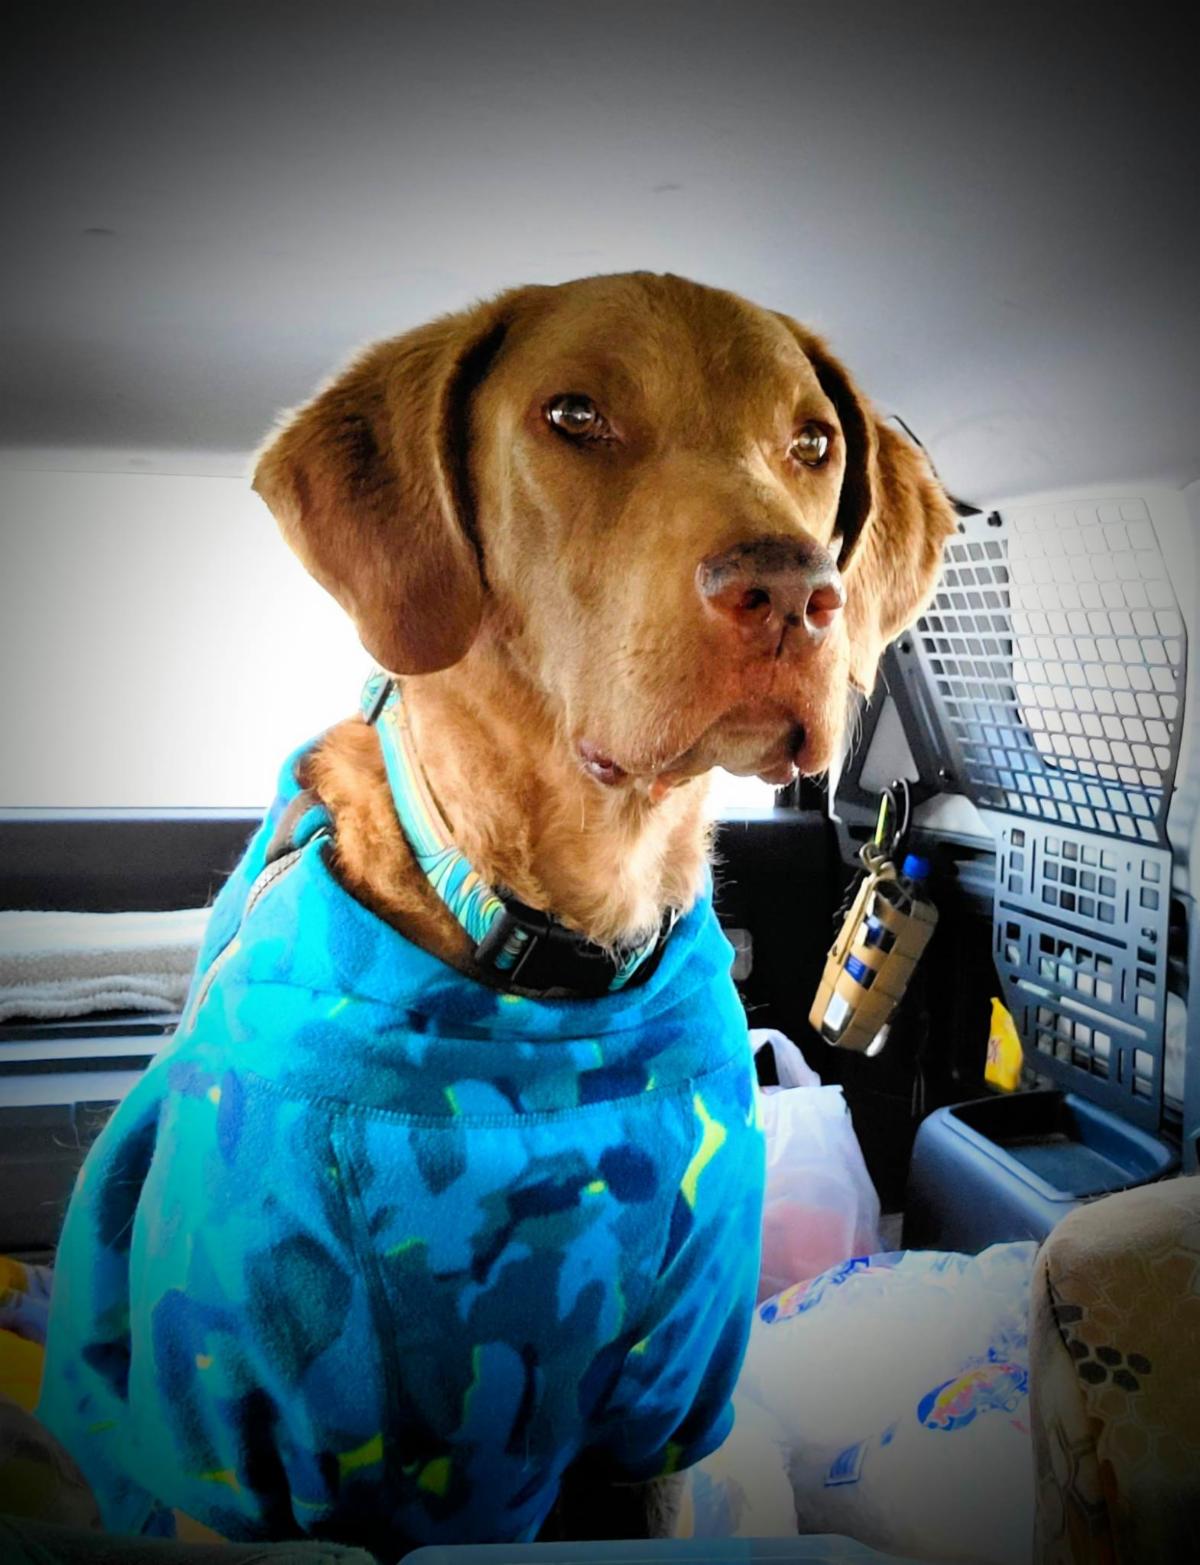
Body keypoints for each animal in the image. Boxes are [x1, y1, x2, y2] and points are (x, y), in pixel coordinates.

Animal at [39, 273, 955, 1555]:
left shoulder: (664, 1409)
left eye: (813, 443)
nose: (791, 589)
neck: (553, 970)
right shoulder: (252, 1446)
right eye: (574, 416)